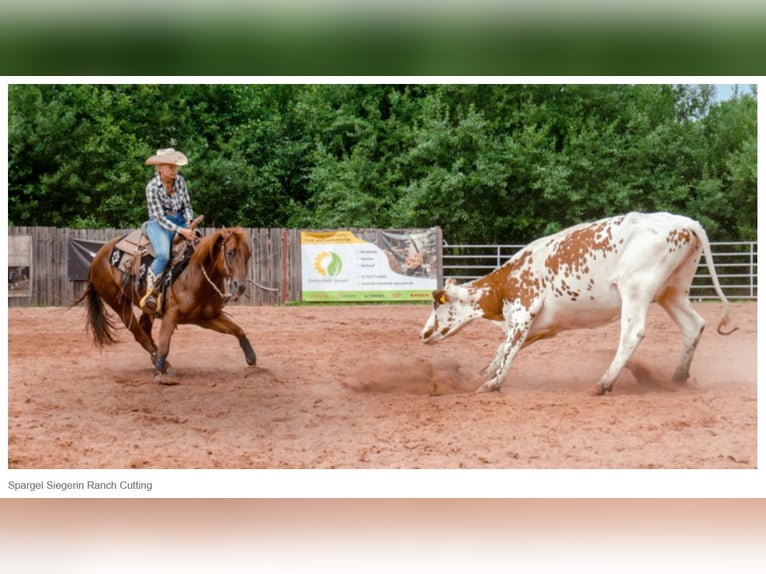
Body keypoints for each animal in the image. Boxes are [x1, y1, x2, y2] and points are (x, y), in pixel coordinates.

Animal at [70, 225, 256, 384]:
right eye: (230, 252)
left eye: (248, 255)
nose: (240, 286)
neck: (195, 273)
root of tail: (97, 257)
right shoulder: (171, 314)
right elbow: (165, 344)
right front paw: (159, 374)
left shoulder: (207, 317)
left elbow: (238, 330)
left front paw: (252, 359)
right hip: (118, 304)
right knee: (139, 334)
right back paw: (162, 365)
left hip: (147, 309)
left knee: (145, 329)